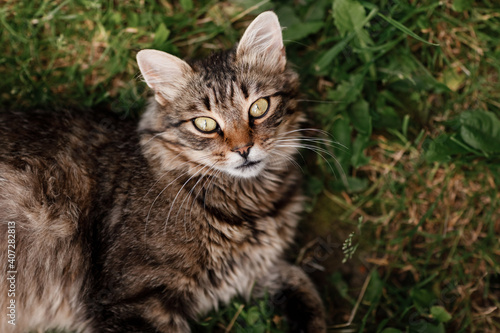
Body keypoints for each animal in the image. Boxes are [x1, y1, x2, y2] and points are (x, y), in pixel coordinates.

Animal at [0, 11, 326, 332]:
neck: (249, 203)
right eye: (205, 124)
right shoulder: (134, 300)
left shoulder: (254, 269)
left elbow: (301, 284)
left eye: (259, 108)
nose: (243, 149)